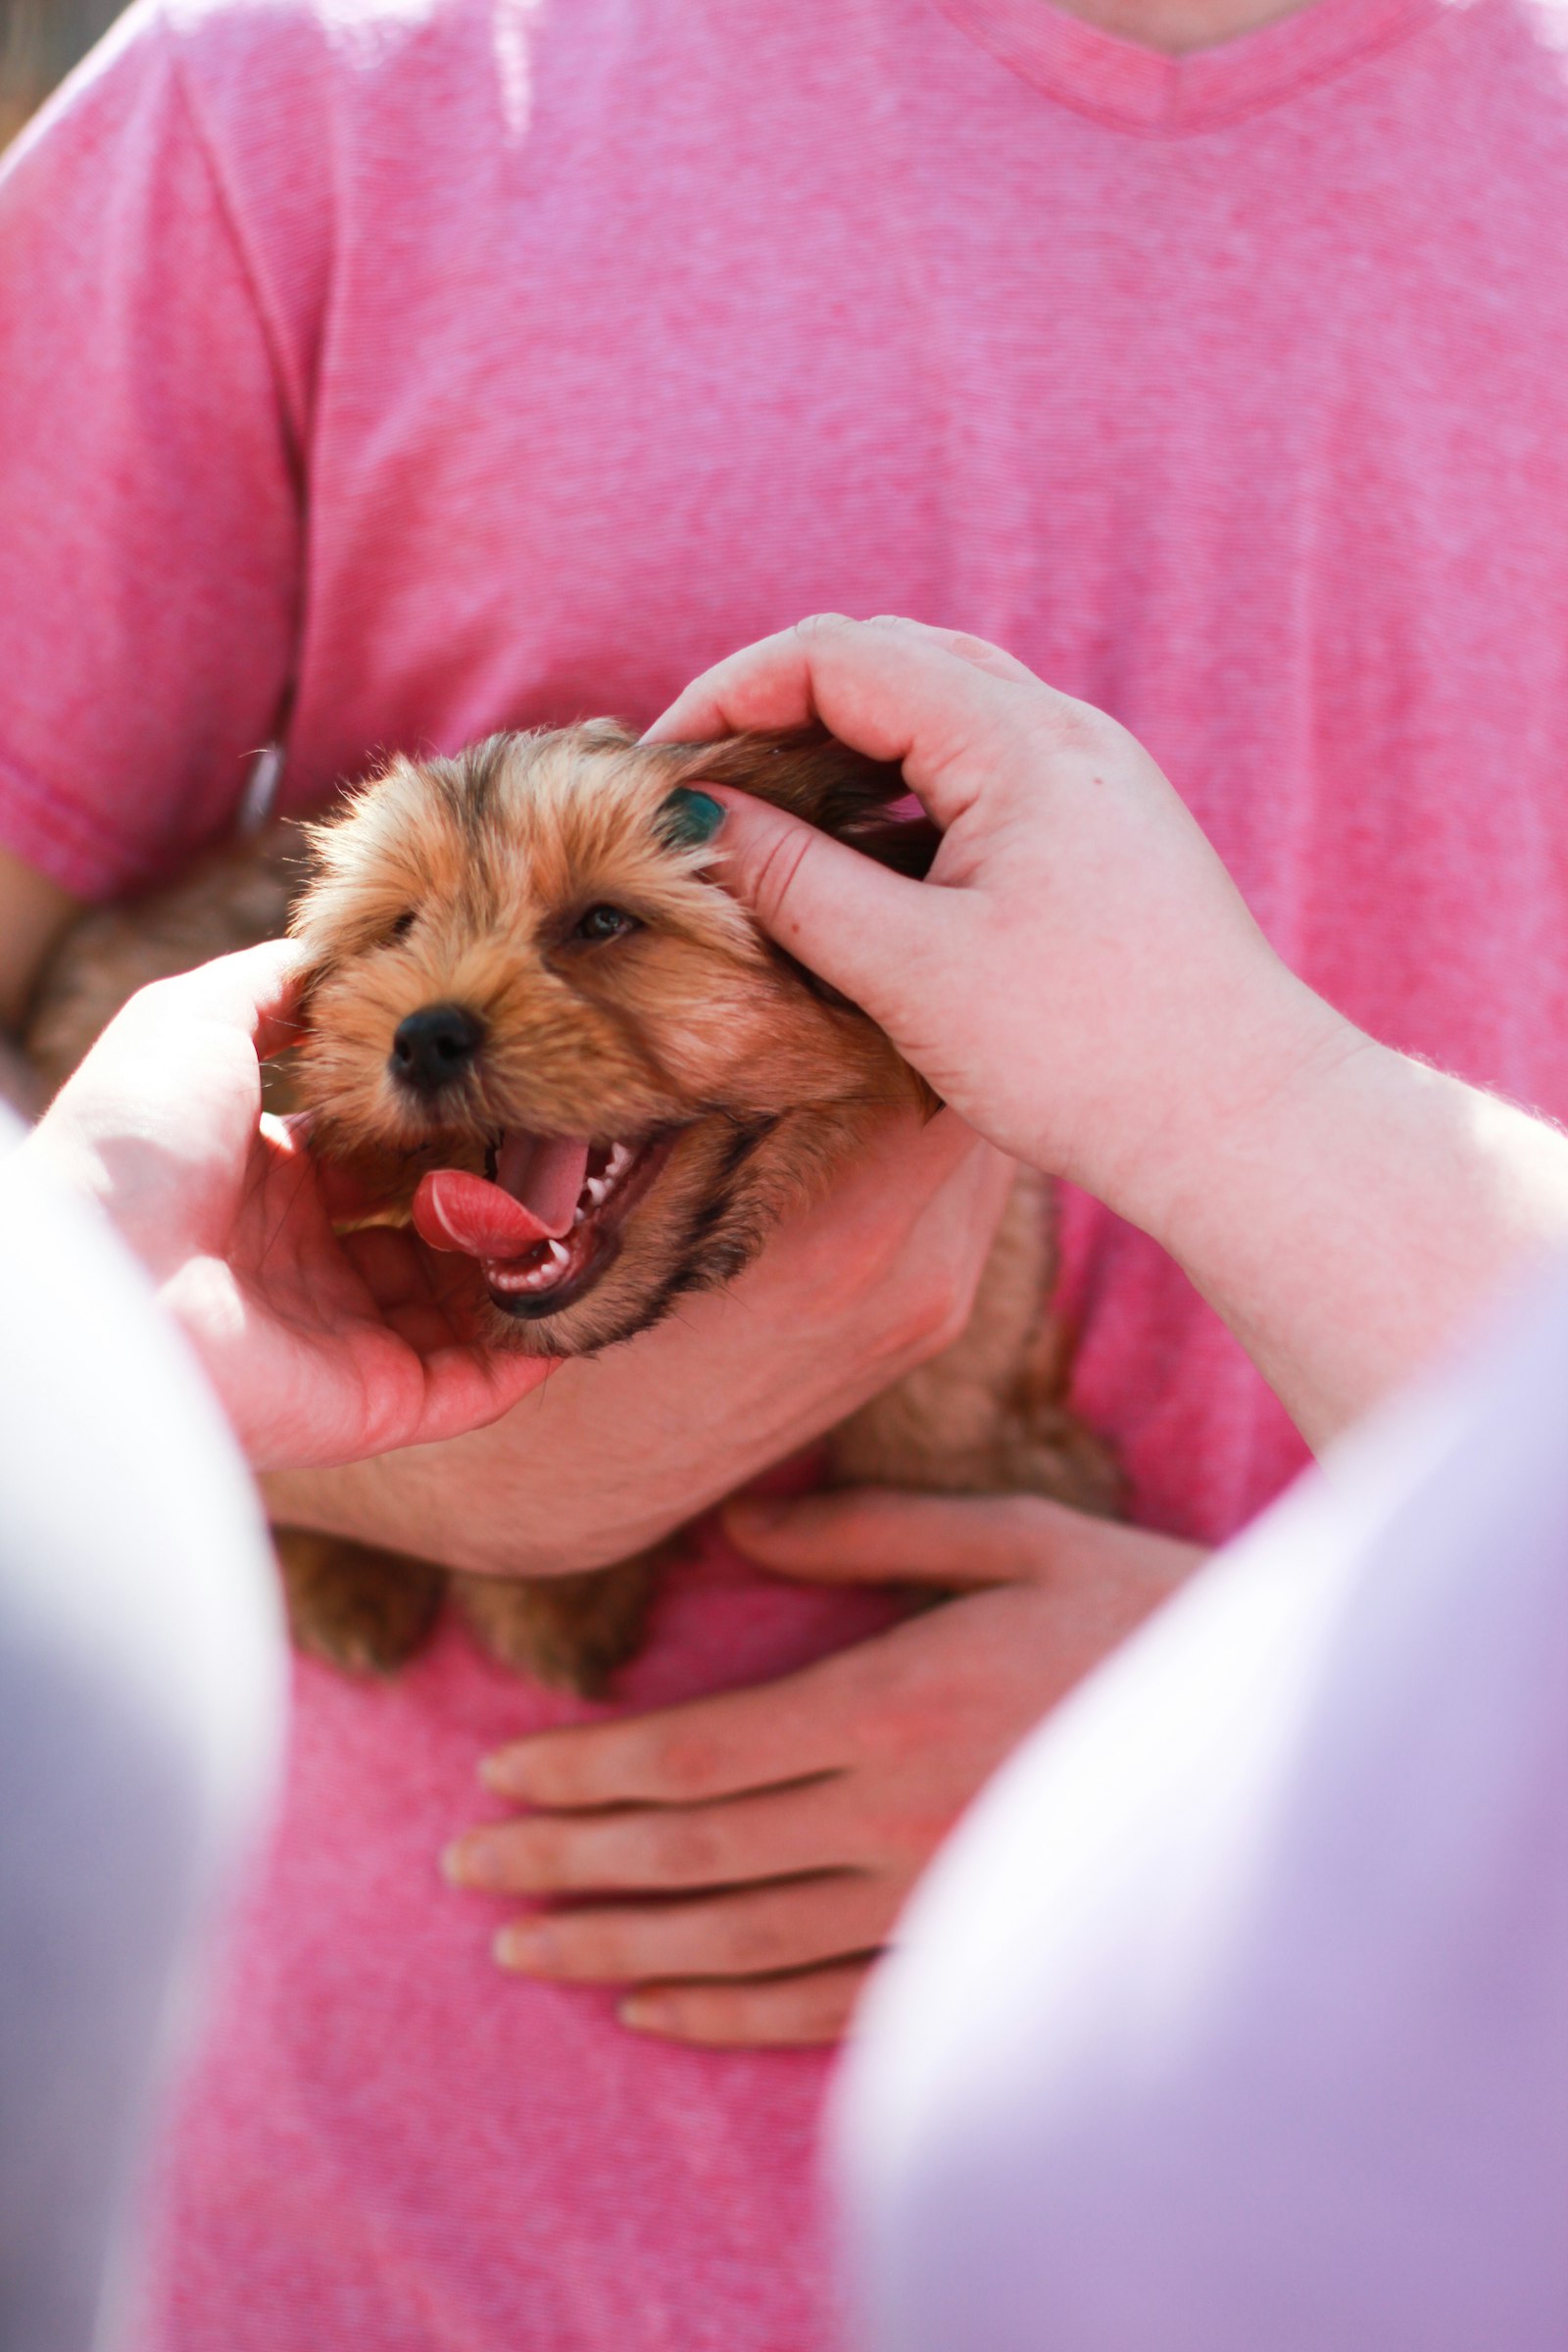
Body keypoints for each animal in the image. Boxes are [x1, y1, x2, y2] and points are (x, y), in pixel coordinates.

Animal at [24, 724, 1114, 1684]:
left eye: (602, 923)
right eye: (400, 928)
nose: (421, 1036)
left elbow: (954, 1381)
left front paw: (982, 1489)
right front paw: (553, 1595)